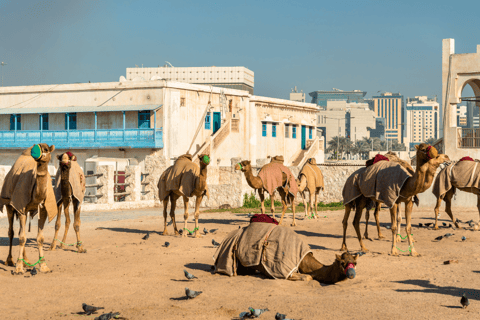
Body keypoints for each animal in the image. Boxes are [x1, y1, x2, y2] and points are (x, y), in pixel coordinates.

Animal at [0, 144, 57, 274]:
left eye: (46, 149)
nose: (35, 151)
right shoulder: (21, 207)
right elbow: (21, 238)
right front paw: (18, 268)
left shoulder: (43, 210)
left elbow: (40, 238)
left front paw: (44, 265)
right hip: (9, 205)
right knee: (12, 232)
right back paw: (10, 261)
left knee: (21, 231)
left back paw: (27, 262)